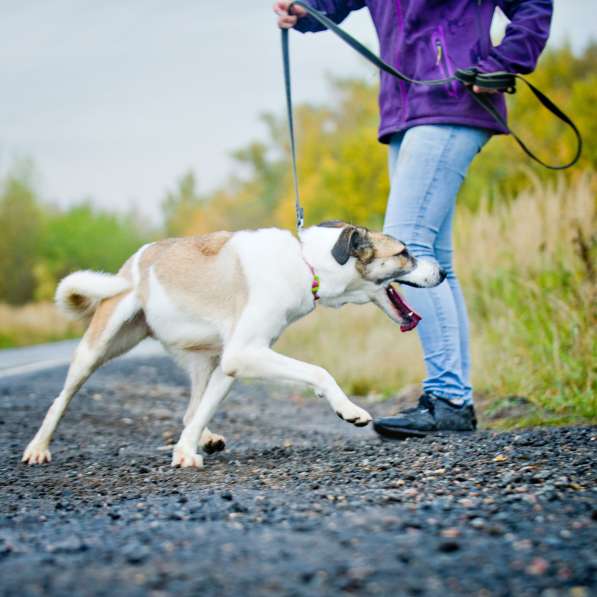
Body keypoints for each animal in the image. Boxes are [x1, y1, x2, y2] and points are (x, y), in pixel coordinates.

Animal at [22, 221, 442, 468]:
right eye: (404, 253)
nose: (442, 271)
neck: (307, 263)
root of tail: (136, 259)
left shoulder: (235, 360)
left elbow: (204, 409)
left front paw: (185, 450)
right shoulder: (246, 353)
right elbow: (319, 371)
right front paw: (348, 409)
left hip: (205, 360)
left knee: (192, 408)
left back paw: (202, 438)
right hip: (98, 347)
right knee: (61, 400)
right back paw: (38, 447)